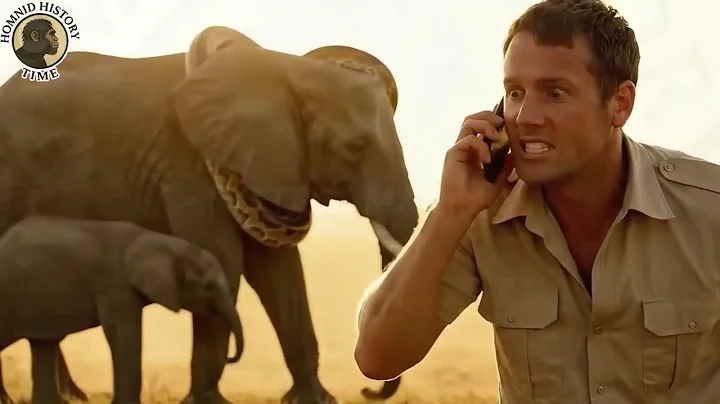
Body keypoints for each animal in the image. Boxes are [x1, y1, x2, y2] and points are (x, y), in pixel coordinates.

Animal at [0, 215, 244, 404]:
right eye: (208, 285)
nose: (231, 358)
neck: (160, 241)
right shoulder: (114, 284)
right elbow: (123, 337)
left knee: (43, 345)